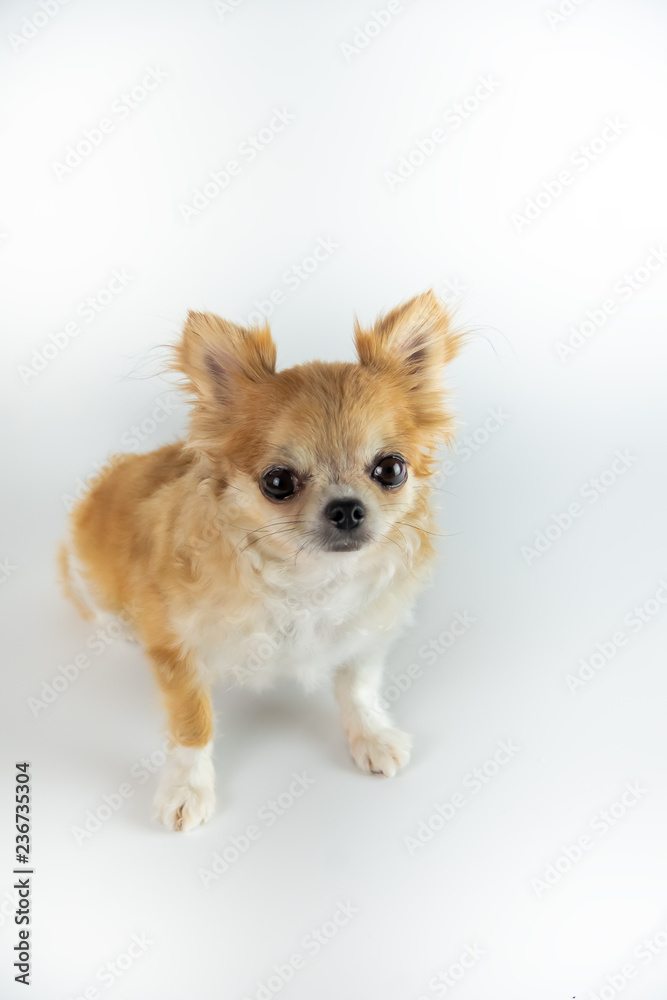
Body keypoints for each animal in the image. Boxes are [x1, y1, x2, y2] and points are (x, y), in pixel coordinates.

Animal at [60, 292, 462, 832]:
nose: (347, 508)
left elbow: (358, 686)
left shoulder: (364, 633)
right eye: (278, 482)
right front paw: (187, 789)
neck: (306, 580)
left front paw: (371, 735)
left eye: (390, 469)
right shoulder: (177, 649)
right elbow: (192, 724)